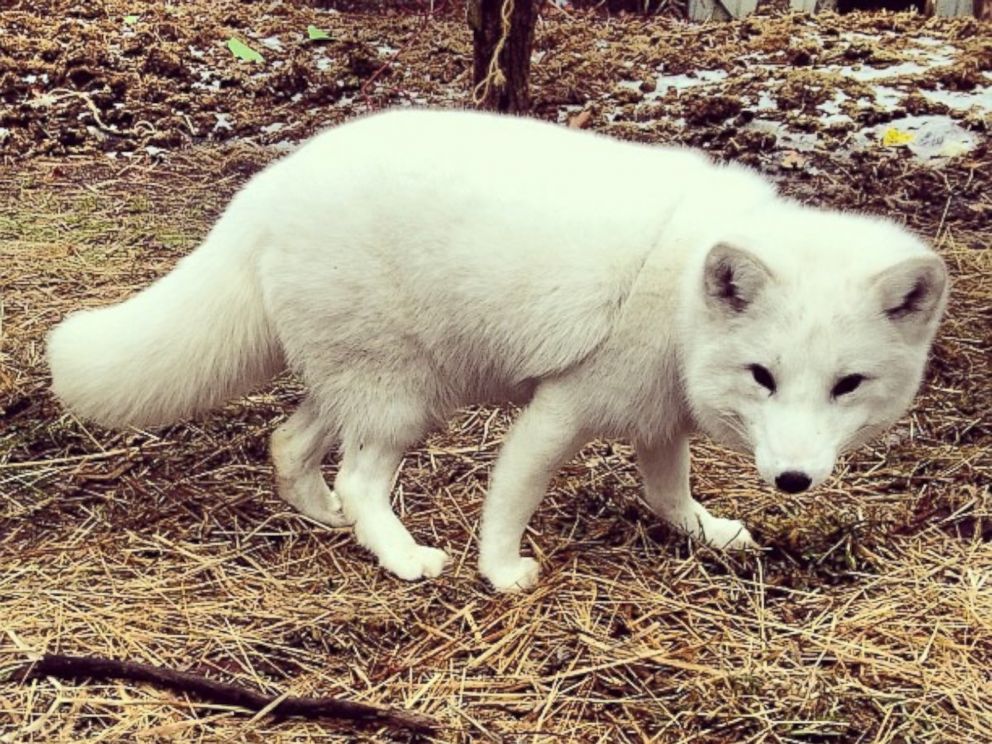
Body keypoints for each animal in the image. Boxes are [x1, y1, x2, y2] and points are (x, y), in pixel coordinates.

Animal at [46, 110, 944, 588]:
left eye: (847, 385)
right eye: (764, 376)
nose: (792, 480)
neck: (681, 297)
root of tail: (267, 187)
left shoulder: (659, 415)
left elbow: (667, 493)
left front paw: (707, 532)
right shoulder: (564, 404)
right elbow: (513, 495)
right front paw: (502, 571)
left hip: (361, 381)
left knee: (289, 443)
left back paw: (327, 517)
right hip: (405, 395)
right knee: (361, 478)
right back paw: (401, 555)